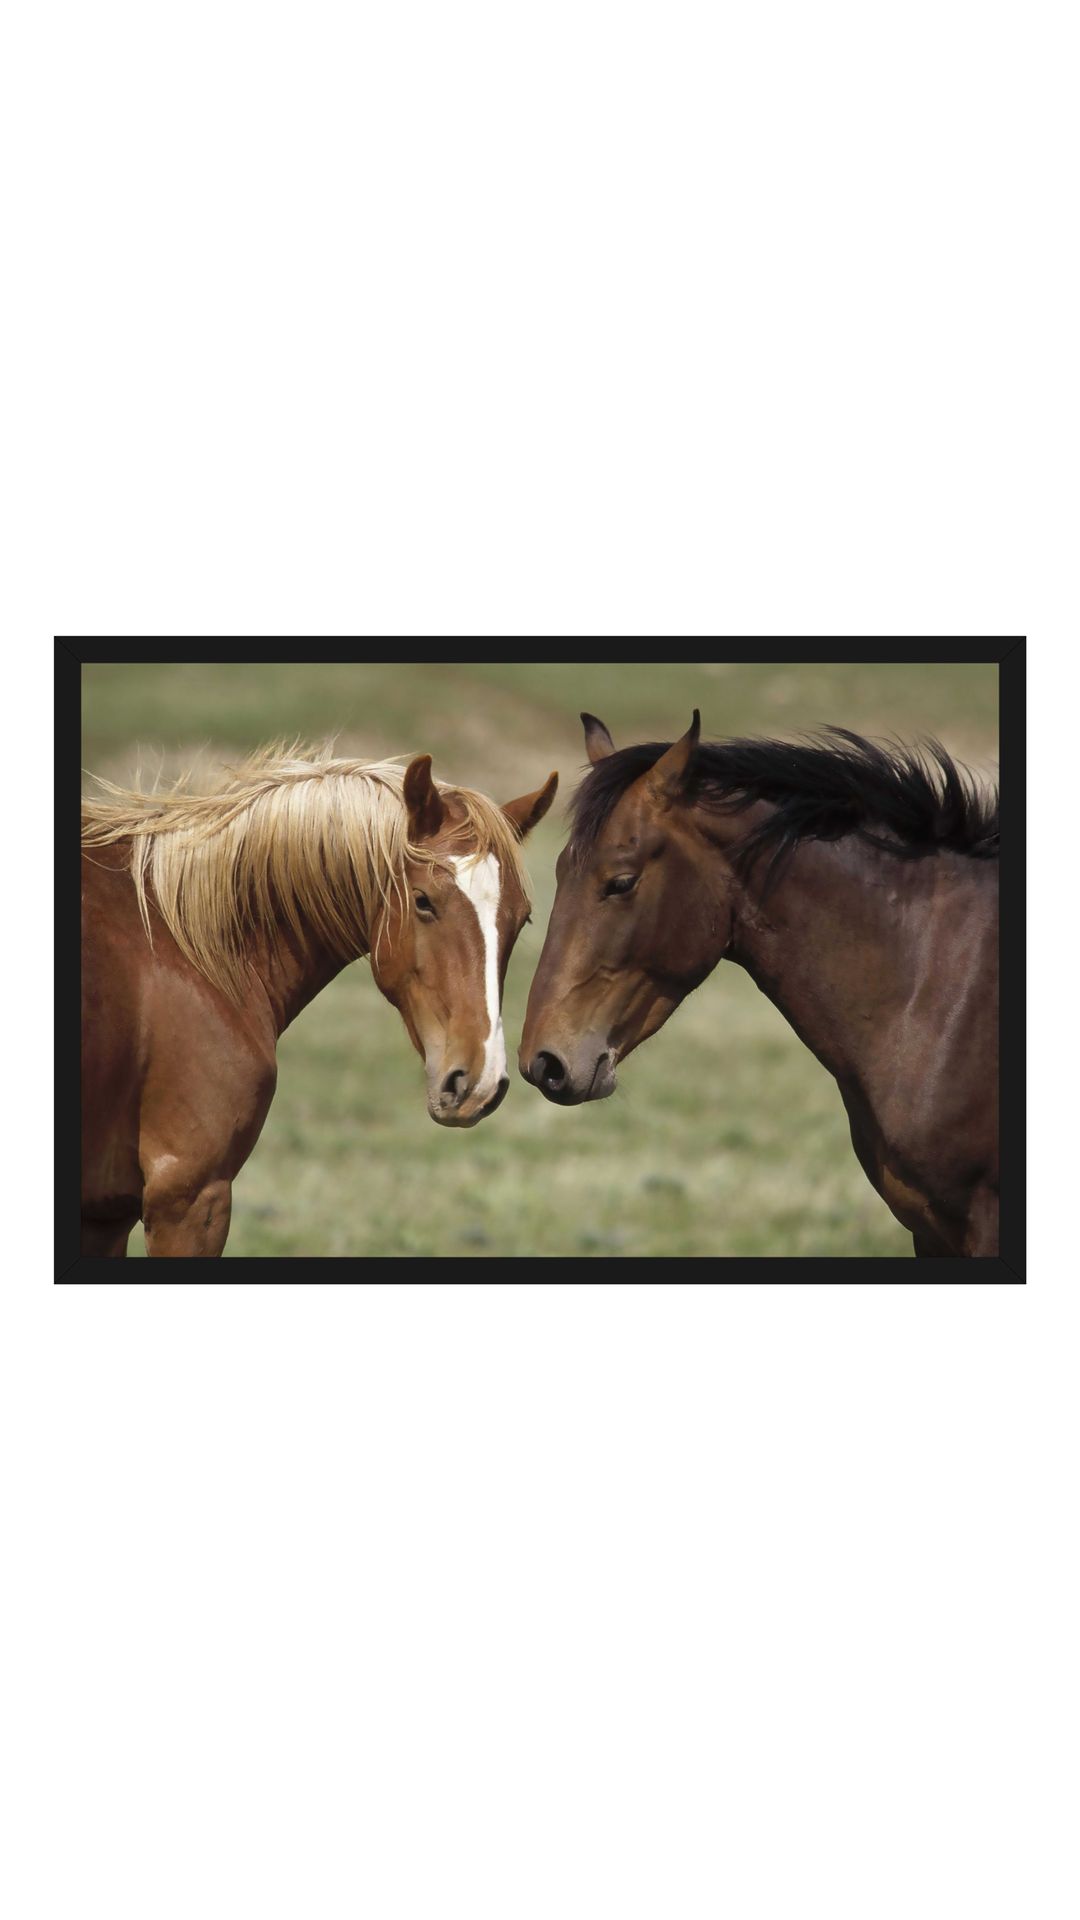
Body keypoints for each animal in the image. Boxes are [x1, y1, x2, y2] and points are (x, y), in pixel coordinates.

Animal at [81, 743, 557, 1256]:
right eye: (423, 900)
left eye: (522, 919)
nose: (480, 1083)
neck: (183, 943)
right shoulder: (189, 1196)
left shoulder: (106, 1218)